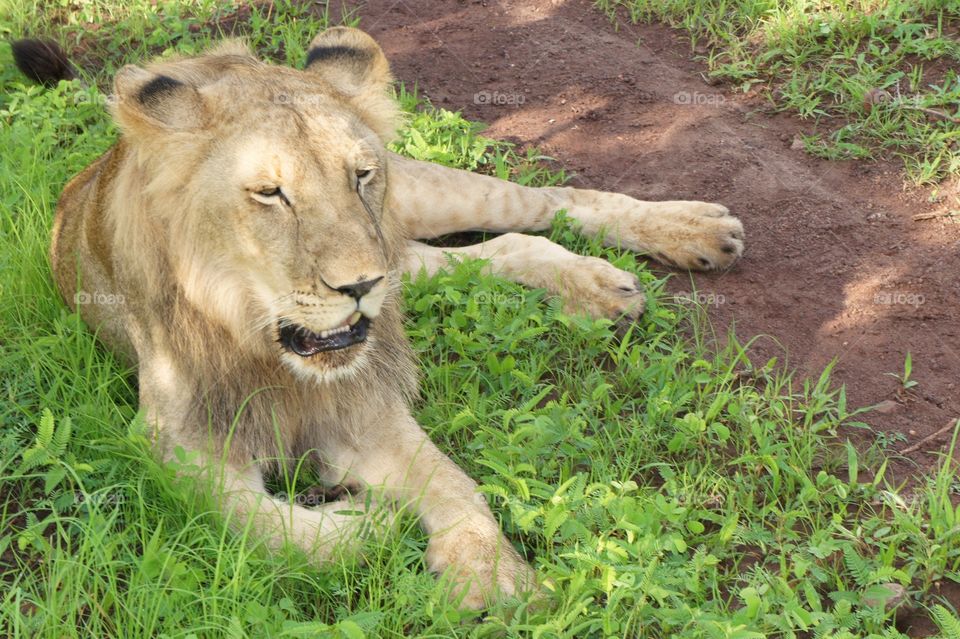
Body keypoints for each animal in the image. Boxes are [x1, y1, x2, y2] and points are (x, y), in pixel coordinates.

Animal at [13, 28, 743, 608]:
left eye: (361, 175)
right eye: (270, 193)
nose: (362, 284)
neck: (262, 342)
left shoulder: (363, 406)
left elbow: (454, 481)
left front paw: (490, 574)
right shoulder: (174, 448)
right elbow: (264, 529)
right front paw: (368, 522)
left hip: (418, 209)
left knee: (542, 201)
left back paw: (690, 230)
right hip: (407, 257)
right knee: (509, 244)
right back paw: (596, 285)